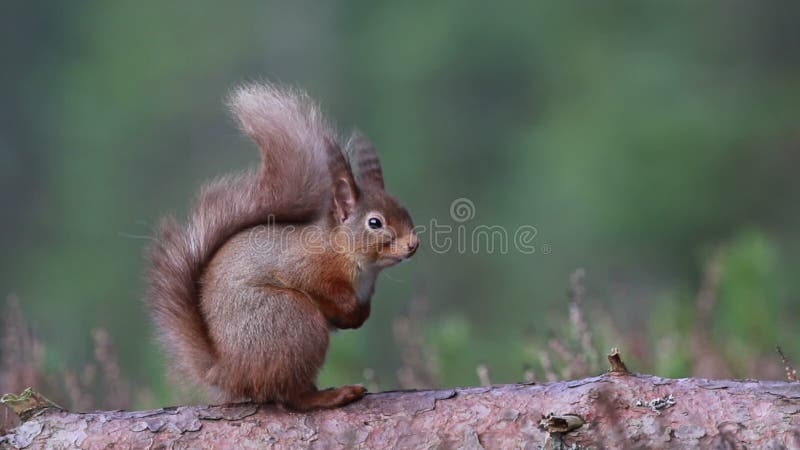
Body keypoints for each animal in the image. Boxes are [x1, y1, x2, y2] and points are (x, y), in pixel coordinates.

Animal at [146, 83, 418, 412]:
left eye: (404, 209)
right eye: (375, 223)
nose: (413, 244)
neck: (353, 259)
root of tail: (230, 372)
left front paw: (359, 316)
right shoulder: (307, 266)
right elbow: (320, 287)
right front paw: (350, 310)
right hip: (293, 321)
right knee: (291, 396)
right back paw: (332, 395)